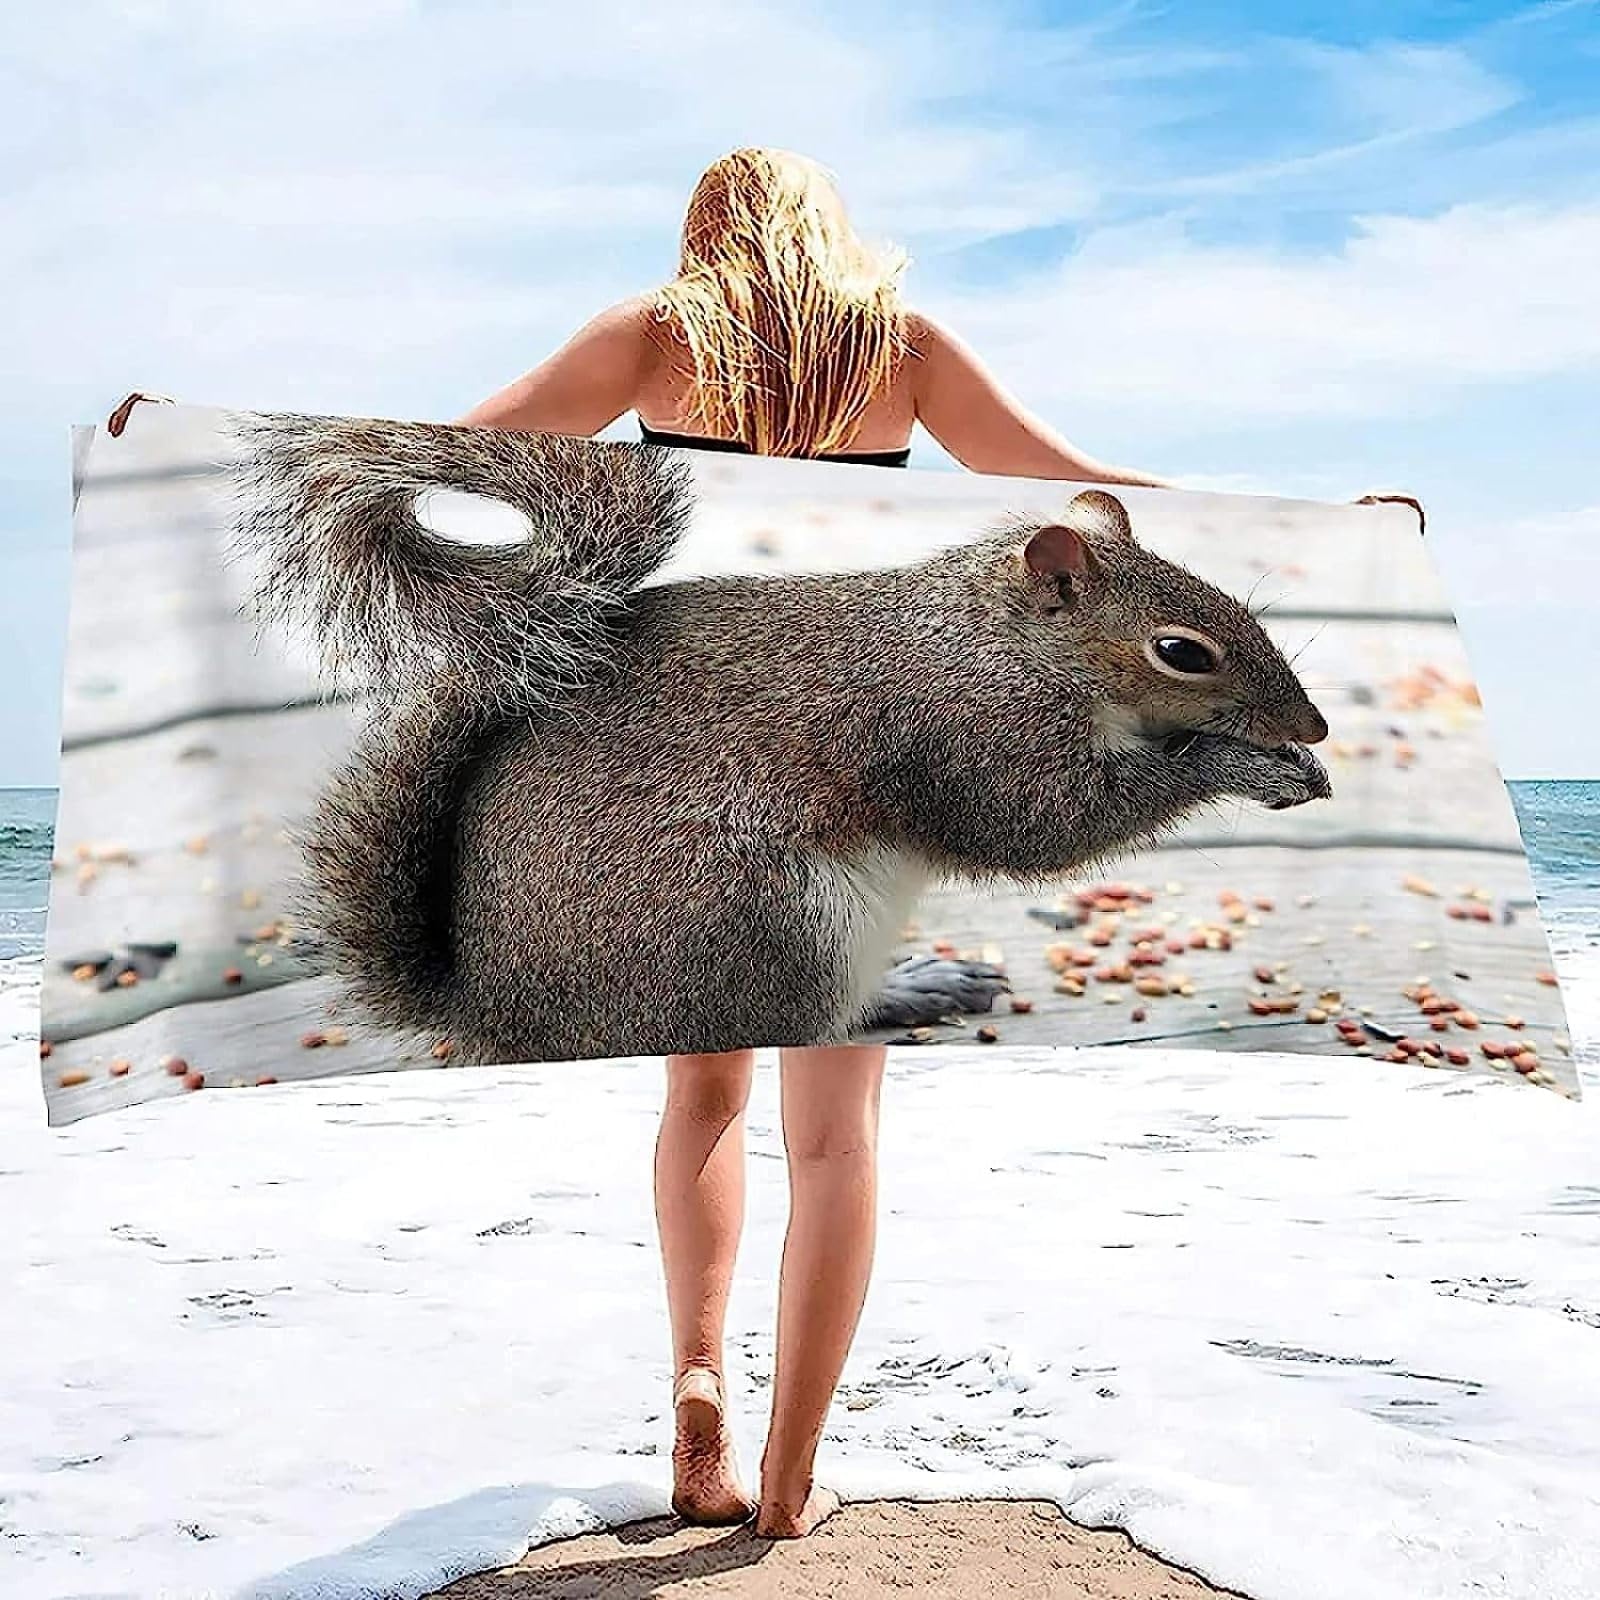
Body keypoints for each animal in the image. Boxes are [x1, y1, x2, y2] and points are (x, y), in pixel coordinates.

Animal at [230, 411, 1332, 1063]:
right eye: (1181, 651)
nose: (1311, 722)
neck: (994, 636)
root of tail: (507, 1026)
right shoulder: (960, 727)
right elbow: (1038, 827)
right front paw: (1244, 763)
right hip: (770, 932)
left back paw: (917, 984)